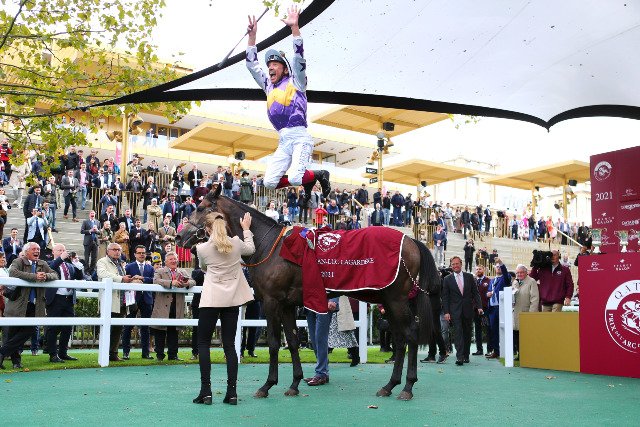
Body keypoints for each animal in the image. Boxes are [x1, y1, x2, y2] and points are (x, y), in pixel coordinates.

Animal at [176, 186, 442, 401]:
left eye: (200, 207)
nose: (179, 236)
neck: (270, 246)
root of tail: (412, 240)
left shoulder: (271, 302)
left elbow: (274, 342)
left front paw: (267, 385)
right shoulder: (286, 305)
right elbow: (293, 341)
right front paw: (294, 383)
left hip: (396, 300)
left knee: (410, 335)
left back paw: (407, 387)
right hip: (389, 300)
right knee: (400, 340)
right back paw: (390, 385)